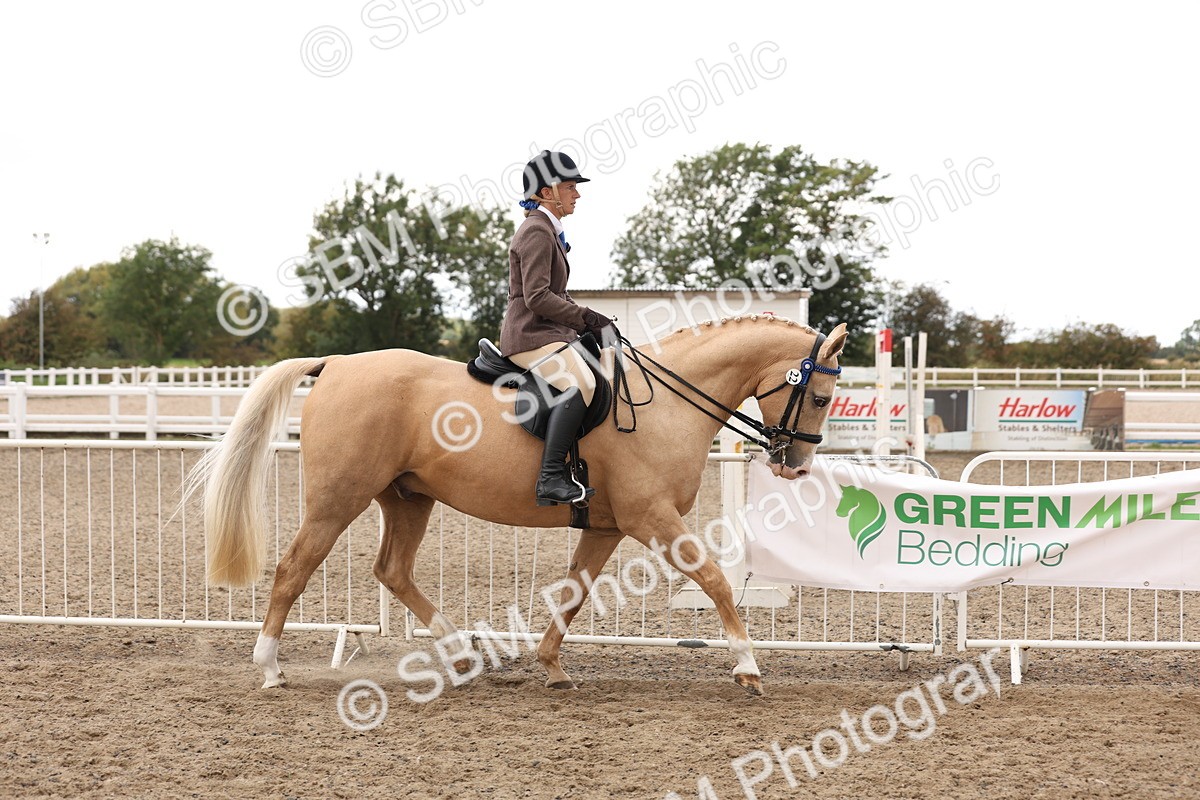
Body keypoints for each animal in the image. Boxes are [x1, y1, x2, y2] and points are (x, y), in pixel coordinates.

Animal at [190, 315, 847, 696]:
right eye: (819, 396)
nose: (796, 464)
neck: (666, 403)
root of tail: (338, 366)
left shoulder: (609, 526)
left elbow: (575, 591)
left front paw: (551, 665)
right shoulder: (651, 518)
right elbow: (713, 578)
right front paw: (748, 666)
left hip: (408, 498)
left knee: (393, 570)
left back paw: (463, 657)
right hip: (337, 499)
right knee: (293, 568)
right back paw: (269, 667)